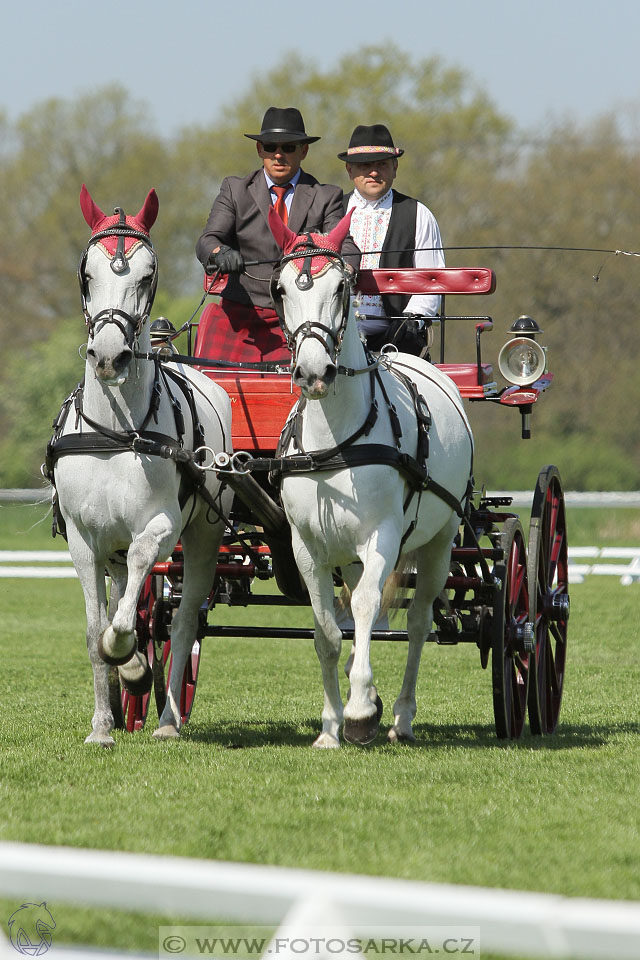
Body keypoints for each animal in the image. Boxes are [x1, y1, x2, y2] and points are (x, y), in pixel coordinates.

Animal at [49, 186, 232, 744]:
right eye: (87, 273)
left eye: (147, 275)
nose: (110, 356)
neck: (114, 433)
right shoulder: (84, 538)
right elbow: (95, 629)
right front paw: (102, 725)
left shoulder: (162, 525)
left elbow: (136, 594)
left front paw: (129, 662)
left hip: (204, 536)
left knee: (182, 622)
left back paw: (169, 719)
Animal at [270, 212, 476, 752]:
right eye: (280, 289)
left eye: (342, 287)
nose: (314, 372)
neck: (336, 441)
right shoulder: (307, 546)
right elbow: (326, 629)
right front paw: (330, 726)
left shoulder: (382, 534)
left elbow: (365, 608)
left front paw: (361, 709)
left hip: (440, 541)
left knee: (420, 622)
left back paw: (400, 716)